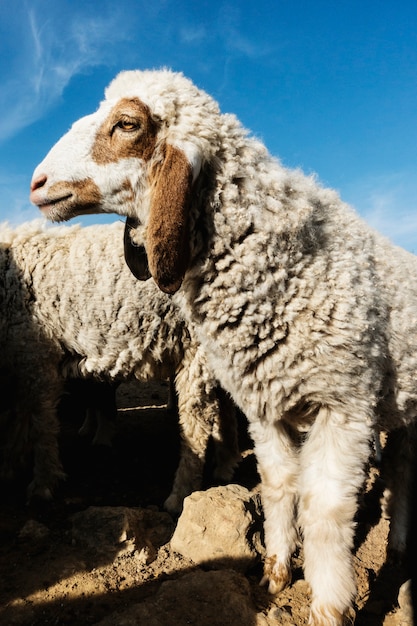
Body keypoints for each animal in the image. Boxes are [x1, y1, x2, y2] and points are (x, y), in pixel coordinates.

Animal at [0, 219, 239, 512]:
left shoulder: (36, 356)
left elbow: (40, 424)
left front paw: (42, 484)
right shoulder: (19, 361)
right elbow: (17, 419)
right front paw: (10, 467)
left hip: (196, 346)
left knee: (197, 418)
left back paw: (180, 494)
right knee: (225, 405)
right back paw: (226, 464)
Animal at [30, 69, 416, 624]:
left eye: (127, 123)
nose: (36, 184)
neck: (285, 268)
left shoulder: (343, 407)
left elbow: (325, 510)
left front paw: (328, 605)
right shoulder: (265, 407)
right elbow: (277, 484)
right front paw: (276, 572)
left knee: (405, 472)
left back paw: (400, 540)